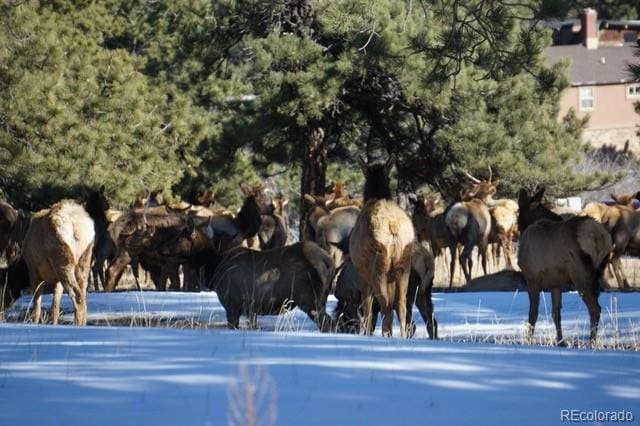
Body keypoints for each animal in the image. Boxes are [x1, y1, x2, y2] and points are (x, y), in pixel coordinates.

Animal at [350, 155, 416, 338]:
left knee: (385, 304)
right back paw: (401, 336)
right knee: (400, 304)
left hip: (378, 266)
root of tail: (393, 227)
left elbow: (367, 306)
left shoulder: (361, 271)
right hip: (404, 265)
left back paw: (387, 335)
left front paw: (366, 333)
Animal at [516, 188, 608, 344]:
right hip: (598, 273)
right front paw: (560, 341)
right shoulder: (556, 283)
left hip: (580, 274)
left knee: (595, 308)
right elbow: (556, 313)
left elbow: (533, 314)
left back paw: (591, 342)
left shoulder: (531, 279)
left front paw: (528, 341)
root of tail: (599, 236)